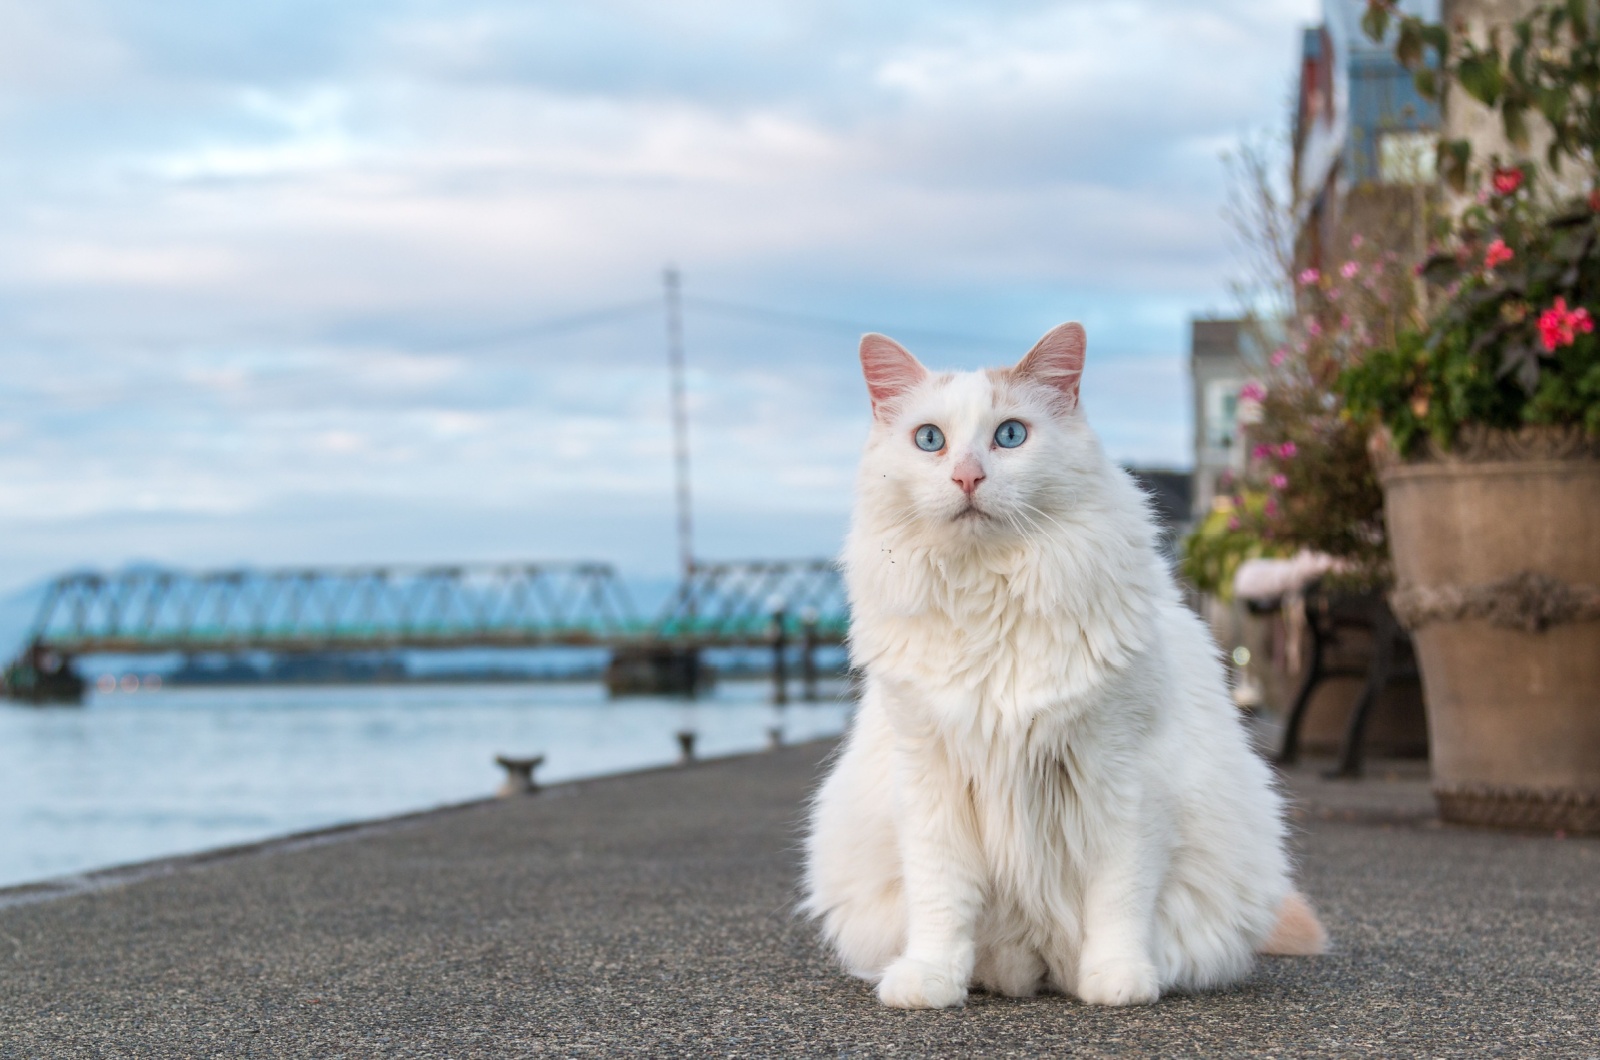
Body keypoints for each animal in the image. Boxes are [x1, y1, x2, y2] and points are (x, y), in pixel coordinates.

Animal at [800, 326, 1324, 1011]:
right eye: (930, 440)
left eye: (1010, 435)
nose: (967, 476)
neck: (988, 599)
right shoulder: (929, 779)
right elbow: (941, 901)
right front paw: (930, 980)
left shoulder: (1122, 777)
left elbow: (1118, 898)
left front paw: (1119, 979)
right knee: (1005, 954)